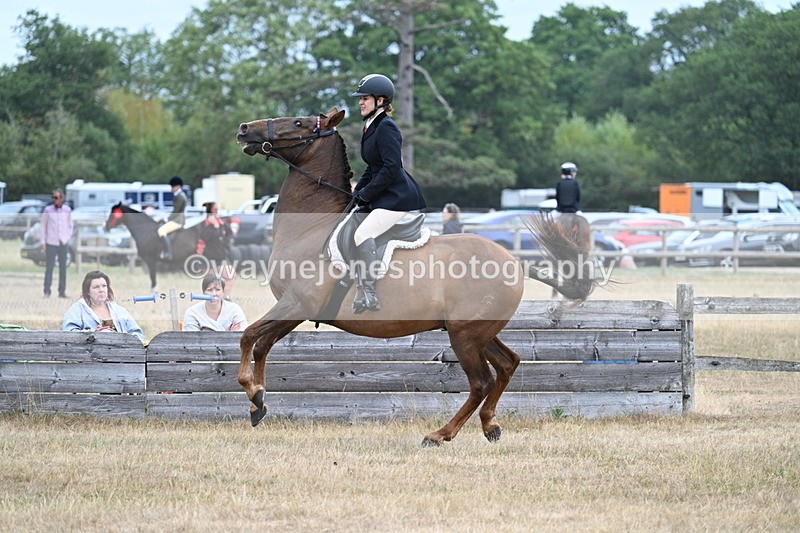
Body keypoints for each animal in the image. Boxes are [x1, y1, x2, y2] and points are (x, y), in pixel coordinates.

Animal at [235, 107, 598, 446]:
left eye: (298, 123)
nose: (244, 129)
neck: (311, 226)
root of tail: (514, 262)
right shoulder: (294, 309)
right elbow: (261, 344)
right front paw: (257, 403)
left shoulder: (297, 304)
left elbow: (249, 337)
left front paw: (253, 392)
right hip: (479, 331)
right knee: (507, 365)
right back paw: (489, 425)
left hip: (465, 336)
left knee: (481, 382)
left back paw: (440, 434)